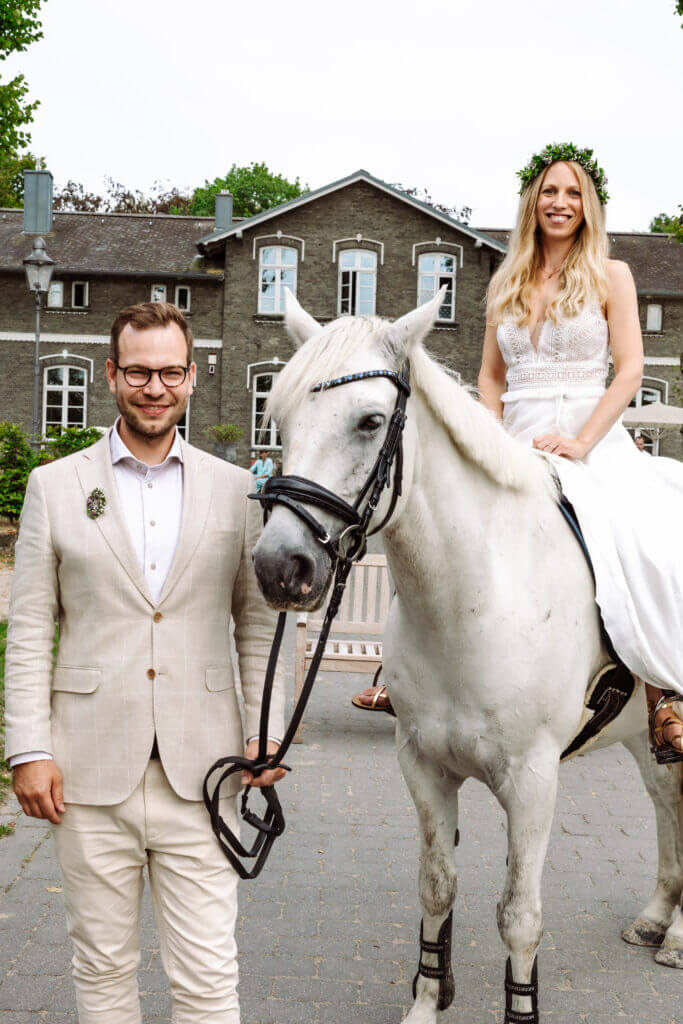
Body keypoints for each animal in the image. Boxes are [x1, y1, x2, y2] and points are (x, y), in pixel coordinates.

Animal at [252, 292, 683, 1019]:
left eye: (371, 421)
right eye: (277, 418)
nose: (280, 566)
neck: (472, 599)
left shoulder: (533, 780)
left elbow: (519, 916)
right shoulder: (422, 764)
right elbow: (436, 885)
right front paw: (428, 998)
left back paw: (676, 936)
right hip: (640, 735)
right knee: (666, 799)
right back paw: (658, 916)